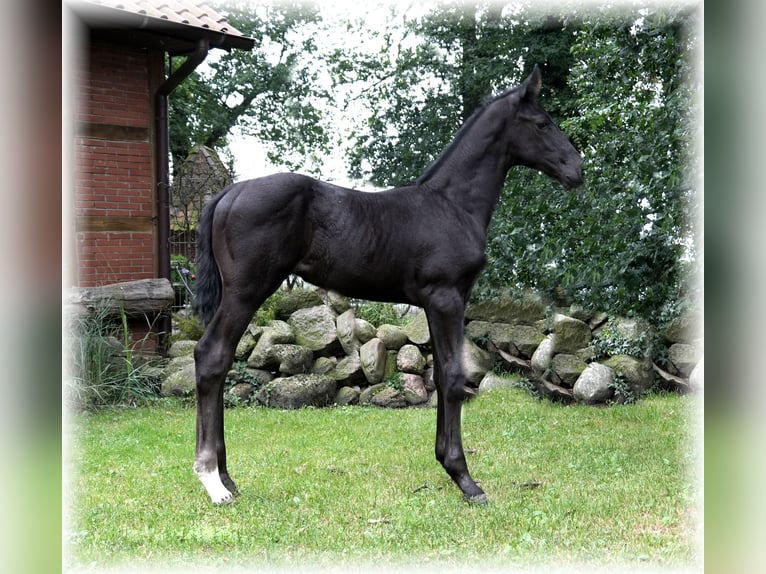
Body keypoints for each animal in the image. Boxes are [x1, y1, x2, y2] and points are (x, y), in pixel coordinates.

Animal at [191, 65, 583, 505]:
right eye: (542, 123)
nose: (577, 170)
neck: (452, 205)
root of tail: (230, 191)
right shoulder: (446, 298)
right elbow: (452, 376)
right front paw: (465, 479)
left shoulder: (438, 303)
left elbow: (443, 374)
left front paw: (447, 464)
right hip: (245, 290)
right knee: (212, 357)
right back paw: (212, 480)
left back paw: (227, 478)